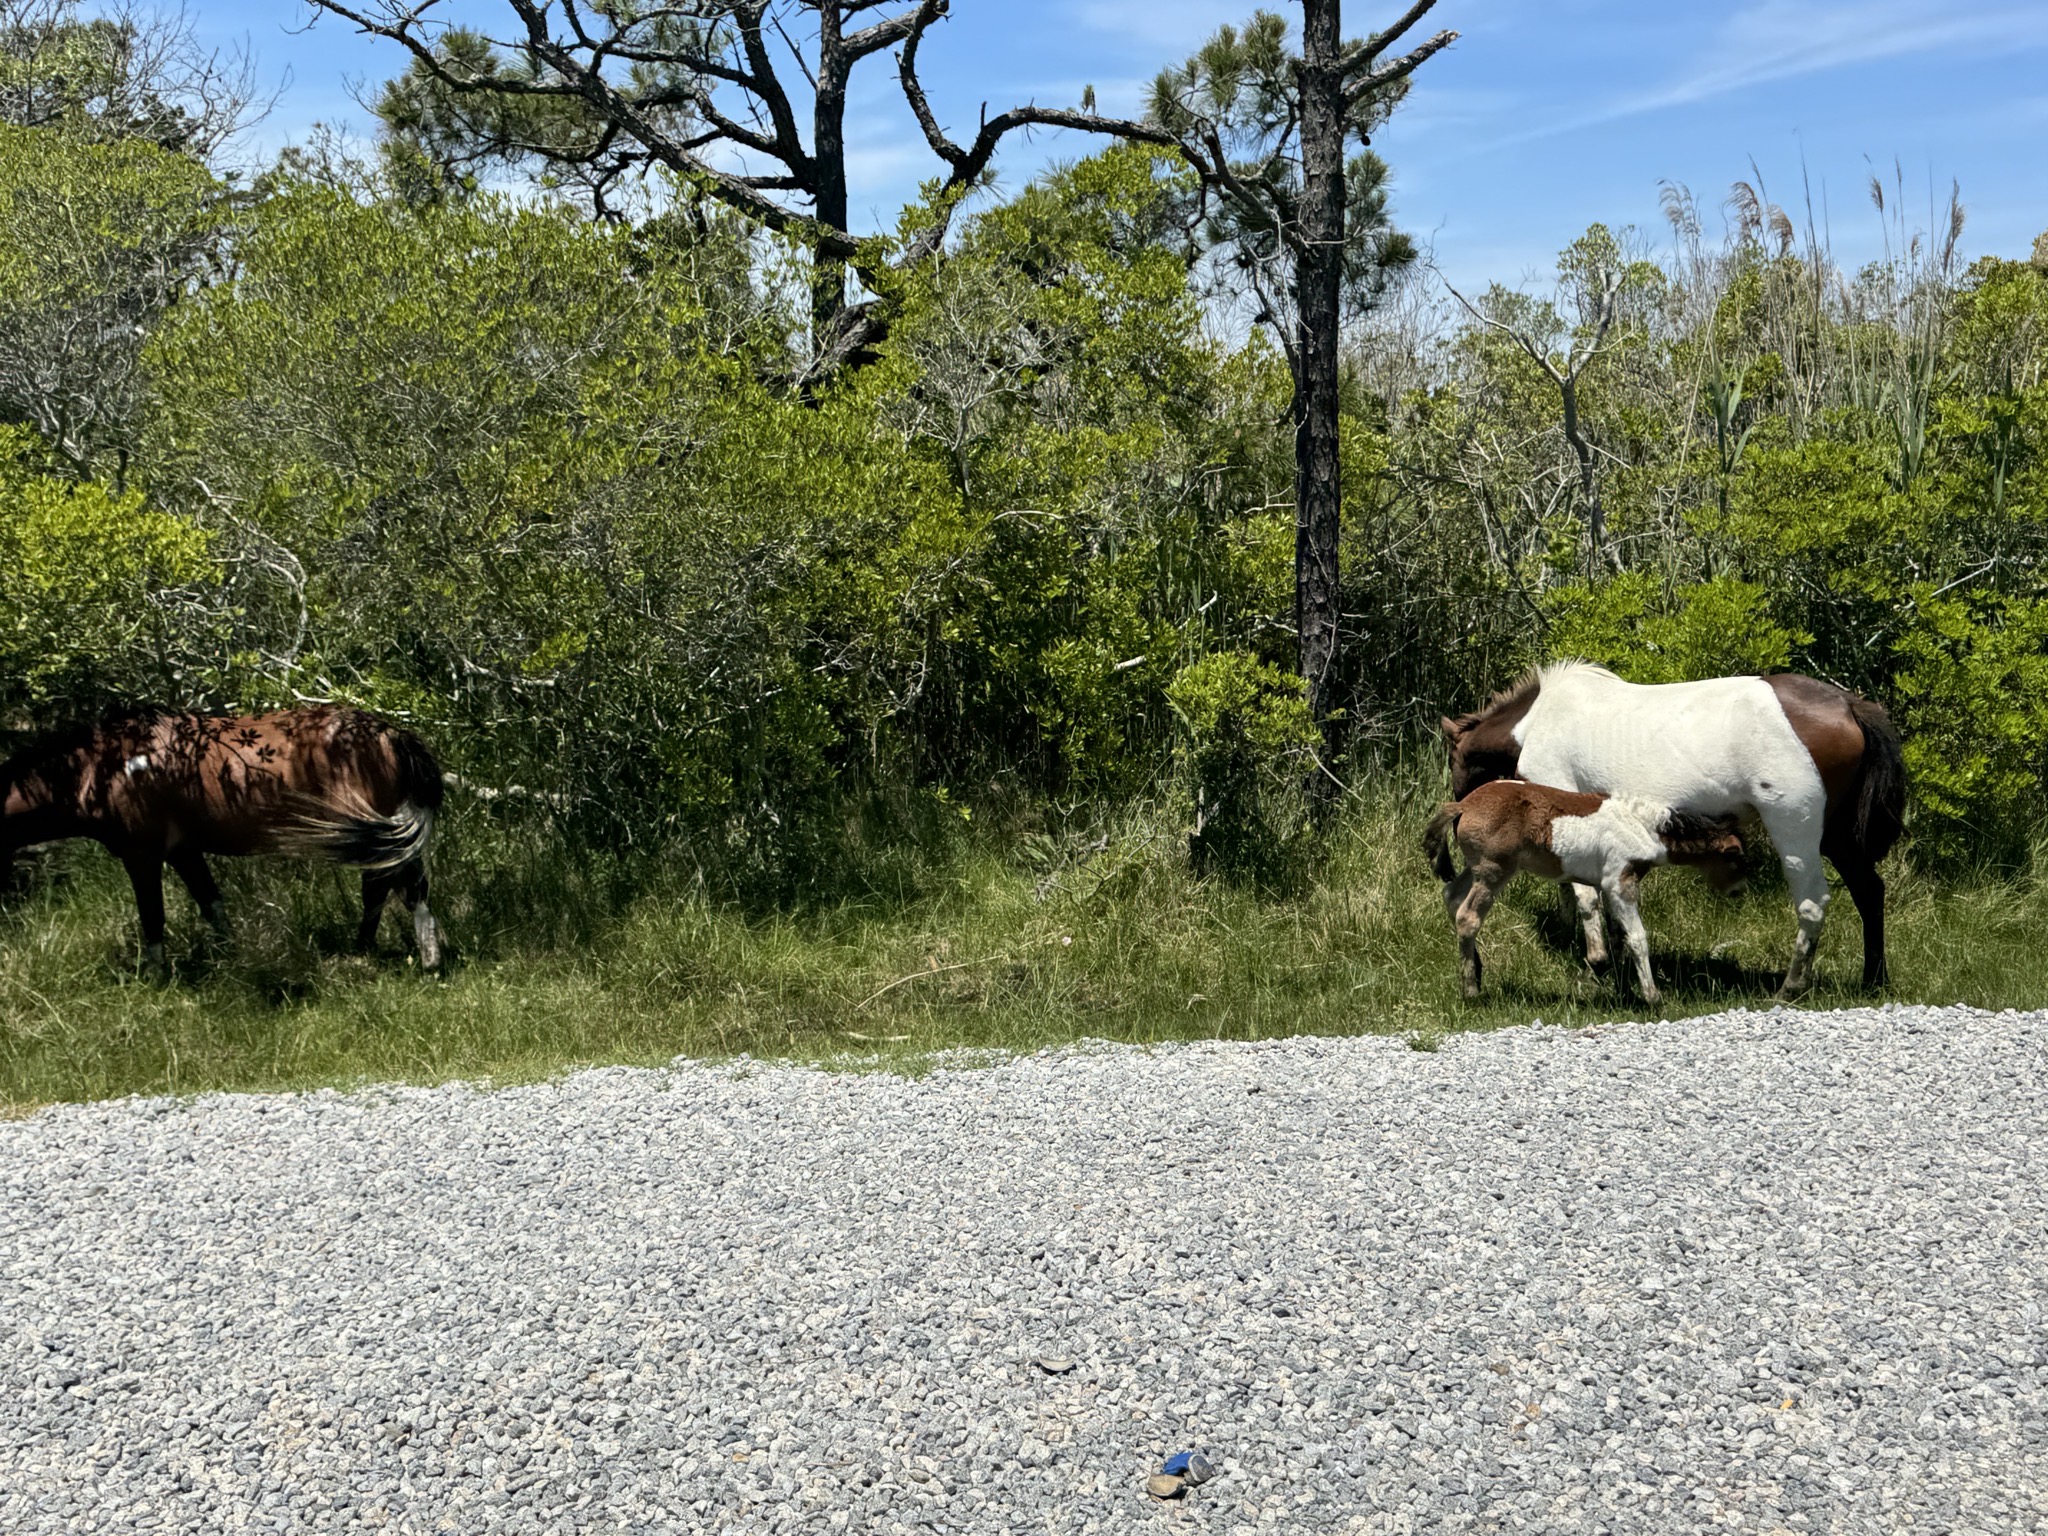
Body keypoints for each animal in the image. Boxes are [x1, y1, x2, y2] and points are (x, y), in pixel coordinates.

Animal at [0, 707, 445, 977]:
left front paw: (156, 978)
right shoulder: (184, 851)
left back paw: (424, 959)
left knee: (403, 888)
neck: (109, 765)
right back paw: (375, 950)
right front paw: (232, 958)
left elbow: (152, 916)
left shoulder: (142, 855)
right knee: (385, 889)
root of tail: (393, 735)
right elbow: (210, 903)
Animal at [1422, 779, 1746, 1004]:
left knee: (1452, 896)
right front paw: (1652, 997)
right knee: (1468, 917)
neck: (1643, 826)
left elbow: (1620, 937)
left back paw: (1477, 972)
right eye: (1735, 857)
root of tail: (1463, 805)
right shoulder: (1620, 882)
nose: (1738, 890)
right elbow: (1637, 937)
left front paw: (1623, 990)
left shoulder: (1608, 887)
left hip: (1477, 869)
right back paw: (1472, 991)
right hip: (1494, 870)